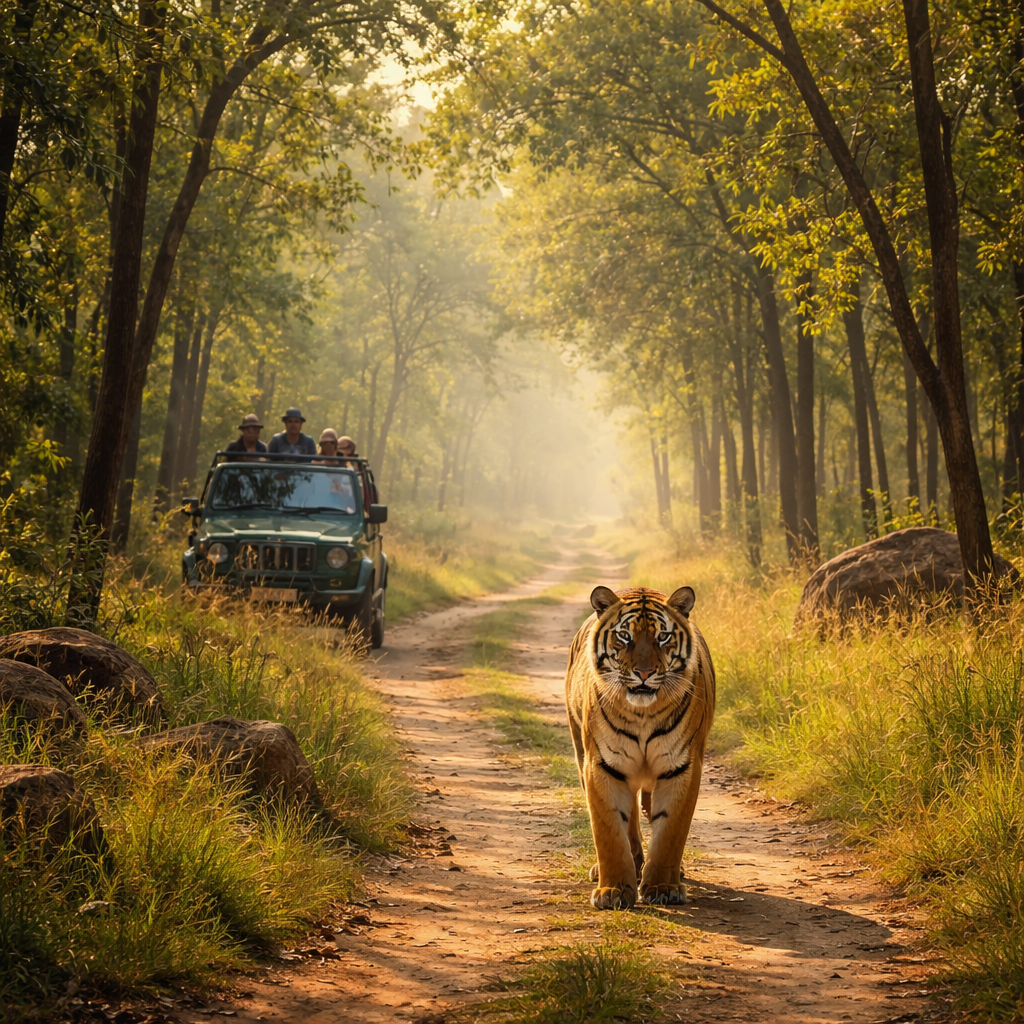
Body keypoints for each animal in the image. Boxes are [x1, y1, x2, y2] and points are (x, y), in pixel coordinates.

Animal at [565, 584, 715, 910]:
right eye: (625, 636)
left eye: (663, 636)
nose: (644, 673)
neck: (643, 714)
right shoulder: (600, 765)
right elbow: (609, 831)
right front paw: (613, 890)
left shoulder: (682, 766)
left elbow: (671, 831)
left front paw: (662, 886)